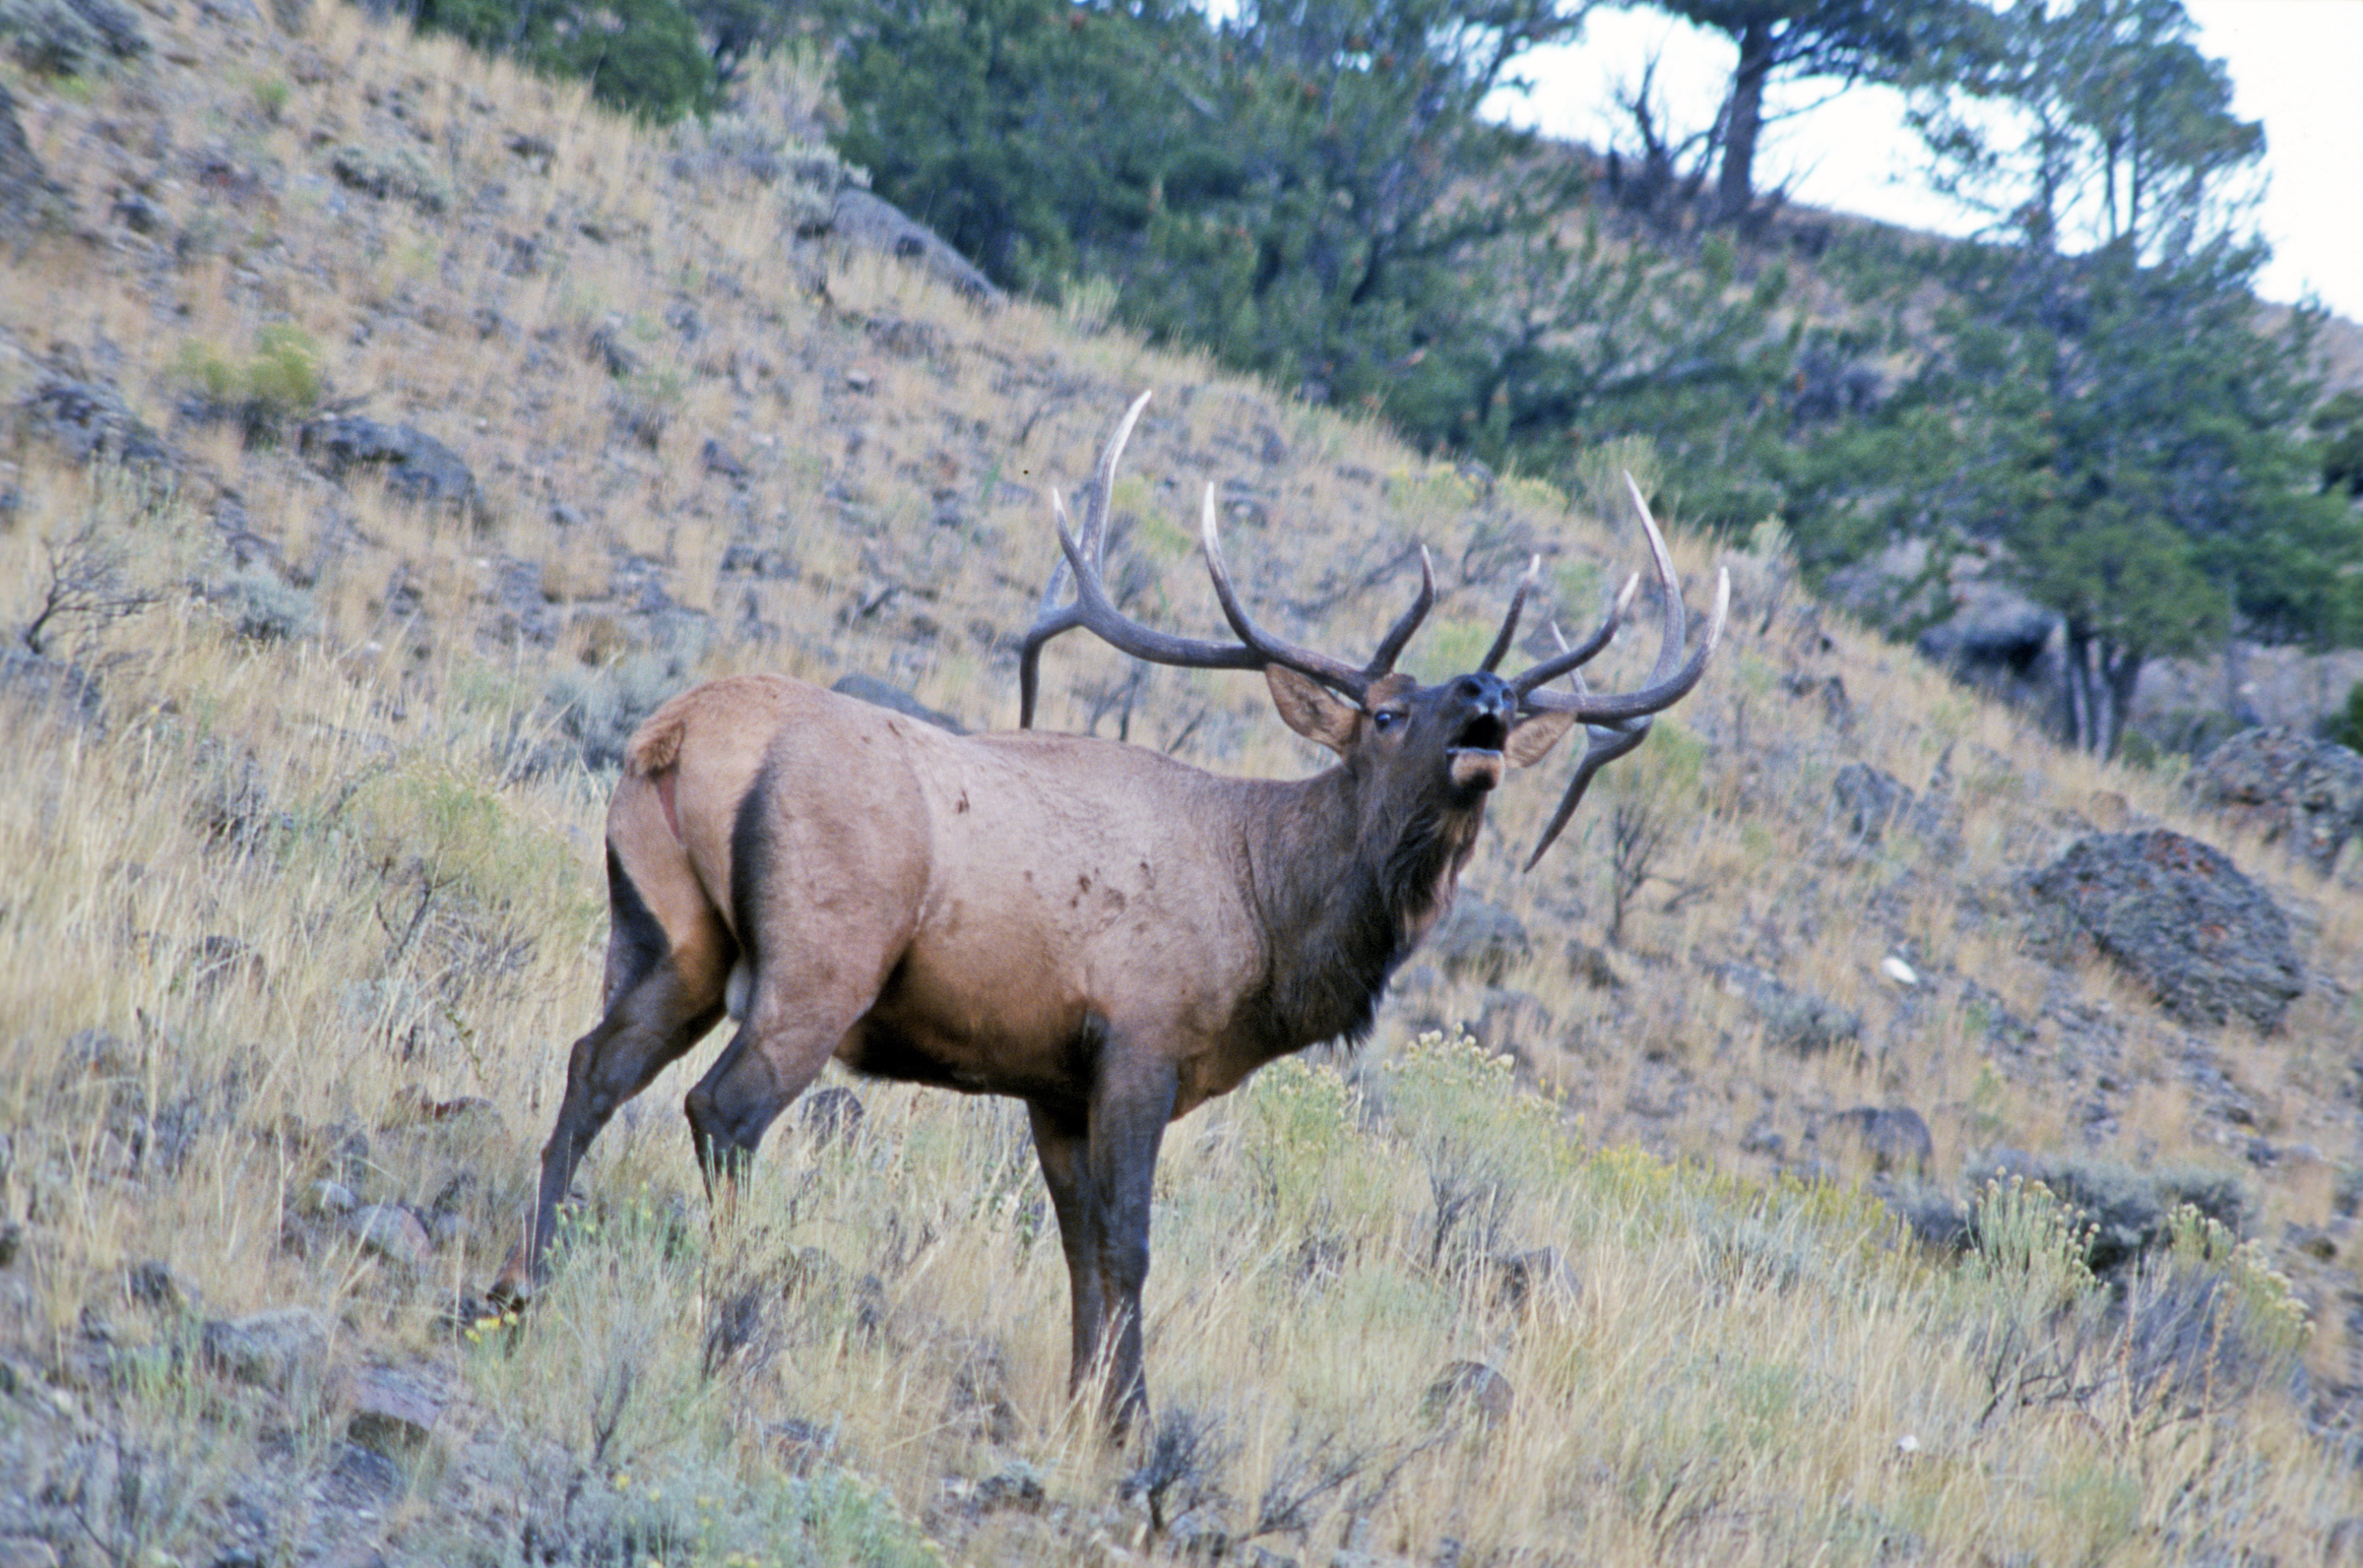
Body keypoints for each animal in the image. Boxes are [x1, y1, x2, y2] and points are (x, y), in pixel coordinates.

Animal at [500, 391, 1727, 1430]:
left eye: (1478, 697)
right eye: (1385, 711)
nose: (1491, 693)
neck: (1267, 918)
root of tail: (679, 734)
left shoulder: (1050, 1078)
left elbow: (1078, 1249)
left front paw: (1086, 1406)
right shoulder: (1139, 1039)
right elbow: (1130, 1246)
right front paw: (1127, 1427)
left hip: (666, 935)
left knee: (595, 1063)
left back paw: (527, 1280)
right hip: (820, 957)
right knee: (724, 1109)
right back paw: (725, 1309)